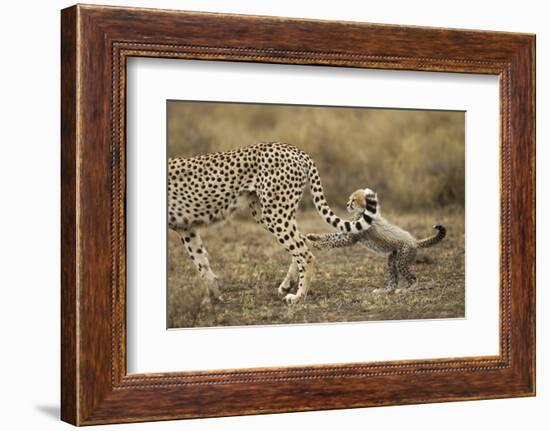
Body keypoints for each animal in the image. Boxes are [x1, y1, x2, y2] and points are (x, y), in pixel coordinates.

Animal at [166, 142, 378, 304]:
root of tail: (293, 149)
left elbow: (199, 261)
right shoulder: (185, 227)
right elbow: (200, 261)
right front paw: (213, 297)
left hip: (274, 213)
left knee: (305, 253)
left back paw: (298, 296)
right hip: (267, 213)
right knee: (303, 240)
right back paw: (287, 284)